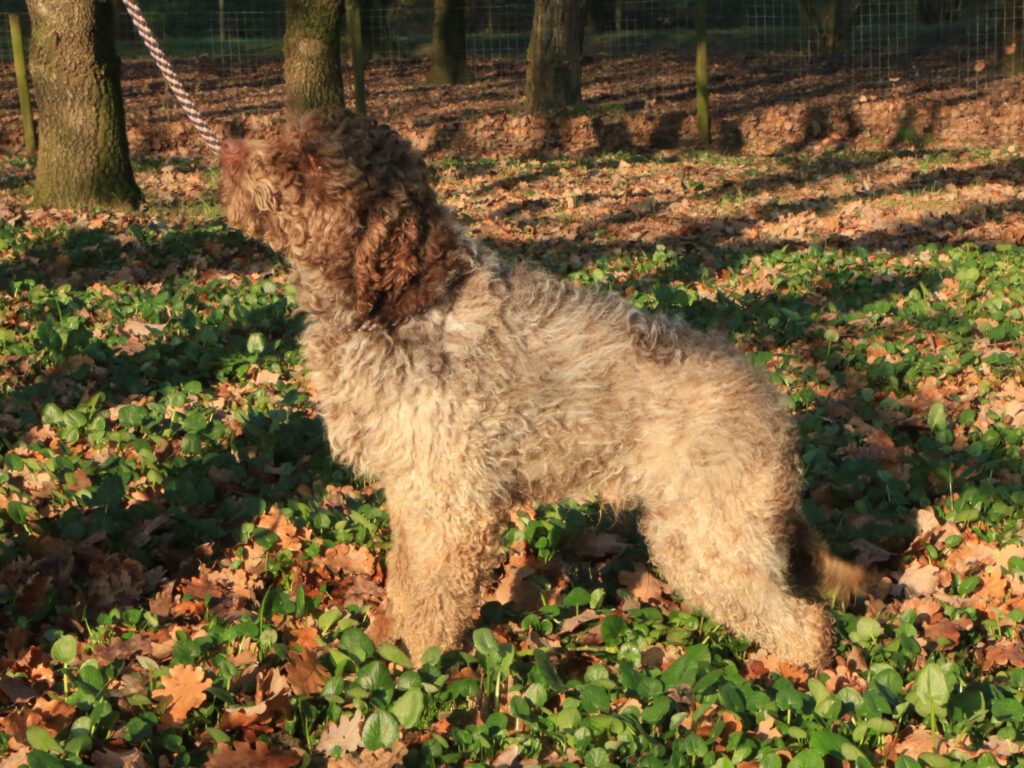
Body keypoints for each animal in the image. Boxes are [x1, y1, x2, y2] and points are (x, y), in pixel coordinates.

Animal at [222, 109, 864, 671]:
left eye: (306, 162)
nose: (229, 145)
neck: (401, 304)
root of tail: (775, 406)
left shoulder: (451, 504)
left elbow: (431, 601)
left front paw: (414, 669)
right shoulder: (411, 493)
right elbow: (405, 580)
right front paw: (387, 639)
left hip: (707, 539)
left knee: (805, 625)